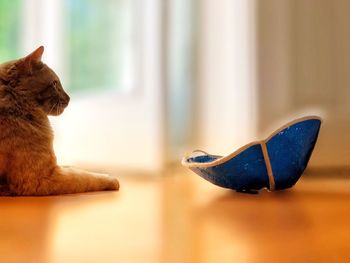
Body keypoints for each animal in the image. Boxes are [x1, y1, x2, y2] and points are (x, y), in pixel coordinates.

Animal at [0, 47, 119, 196]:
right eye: (55, 84)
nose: (69, 98)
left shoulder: (56, 167)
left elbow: (76, 168)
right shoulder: (43, 178)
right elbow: (86, 178)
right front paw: (112, 179)